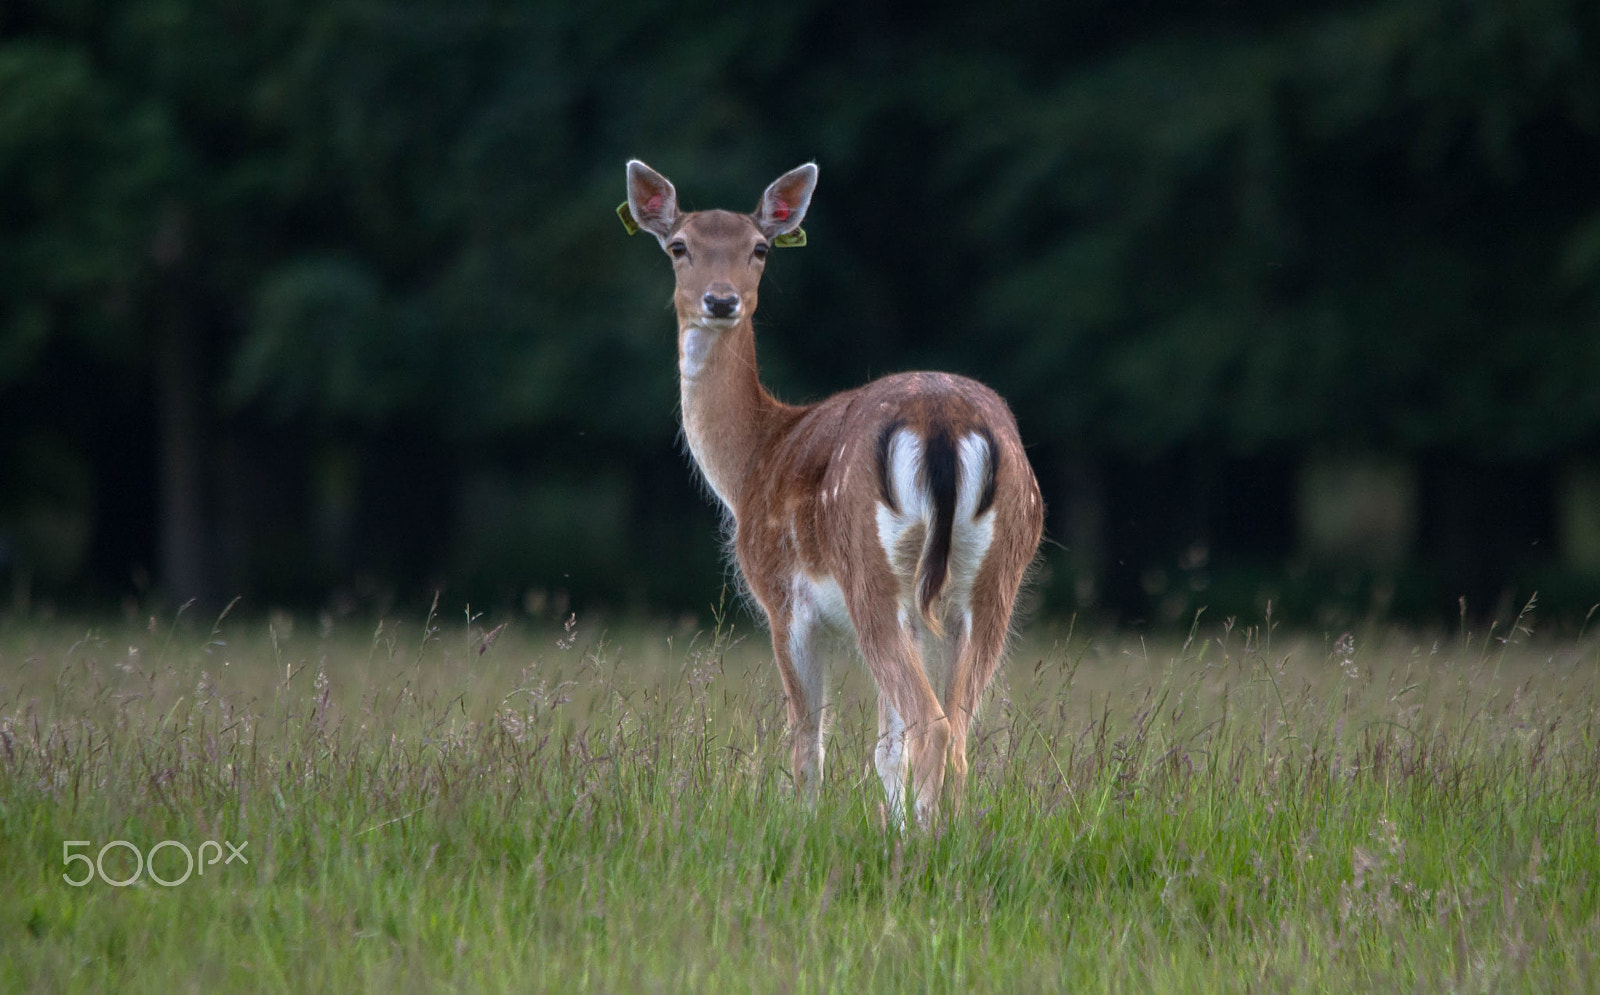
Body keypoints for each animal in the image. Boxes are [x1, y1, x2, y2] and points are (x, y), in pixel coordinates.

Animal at [621, 160, 1043, 828]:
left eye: (760, 248)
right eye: (679, 246)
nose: (721, 299)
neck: (753, 461)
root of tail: (944, 422)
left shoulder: (782, 598)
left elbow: (806, 740)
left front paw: (803, 825)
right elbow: (884, 749)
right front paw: (888, 826)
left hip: (869, 570)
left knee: (933, 726)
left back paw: (927, 841)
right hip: (994, 577)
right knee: (956, 730)